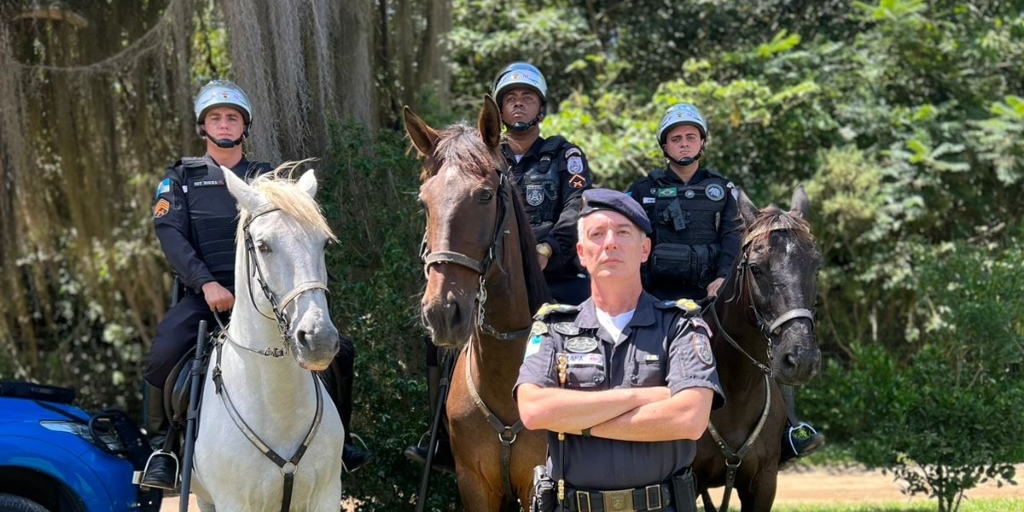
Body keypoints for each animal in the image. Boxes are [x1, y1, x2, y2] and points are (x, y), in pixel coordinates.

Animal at [192, 167, 348, 512]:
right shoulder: (232, 503)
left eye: (324, 244)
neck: (279, 411)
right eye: (263, 246)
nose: (318, 339)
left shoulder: (326, 496)